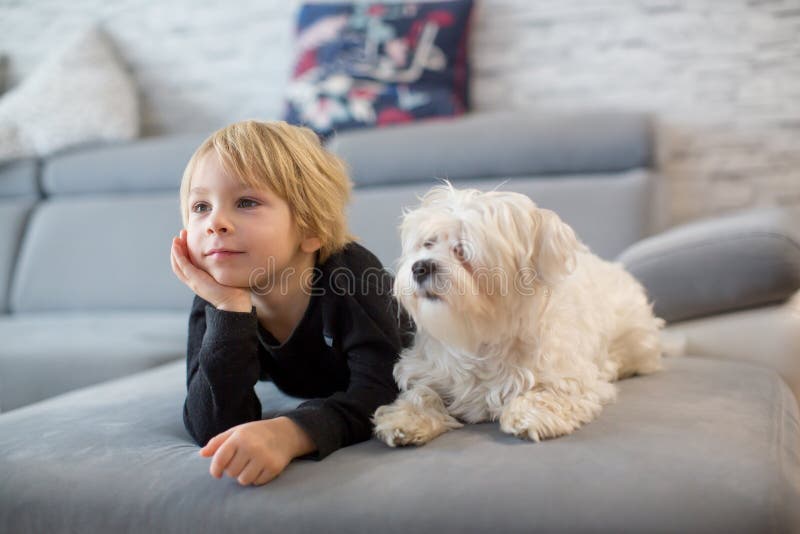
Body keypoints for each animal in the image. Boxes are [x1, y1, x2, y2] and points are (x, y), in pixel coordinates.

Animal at [374, 184, 664, 448]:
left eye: (462, 250)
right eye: (427, 243)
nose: (420, 267)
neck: (480, 336)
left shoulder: (573, 377)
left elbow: (553, 392)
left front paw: (531, 414)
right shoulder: (428, 369)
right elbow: (422, 392)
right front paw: (406, 418)